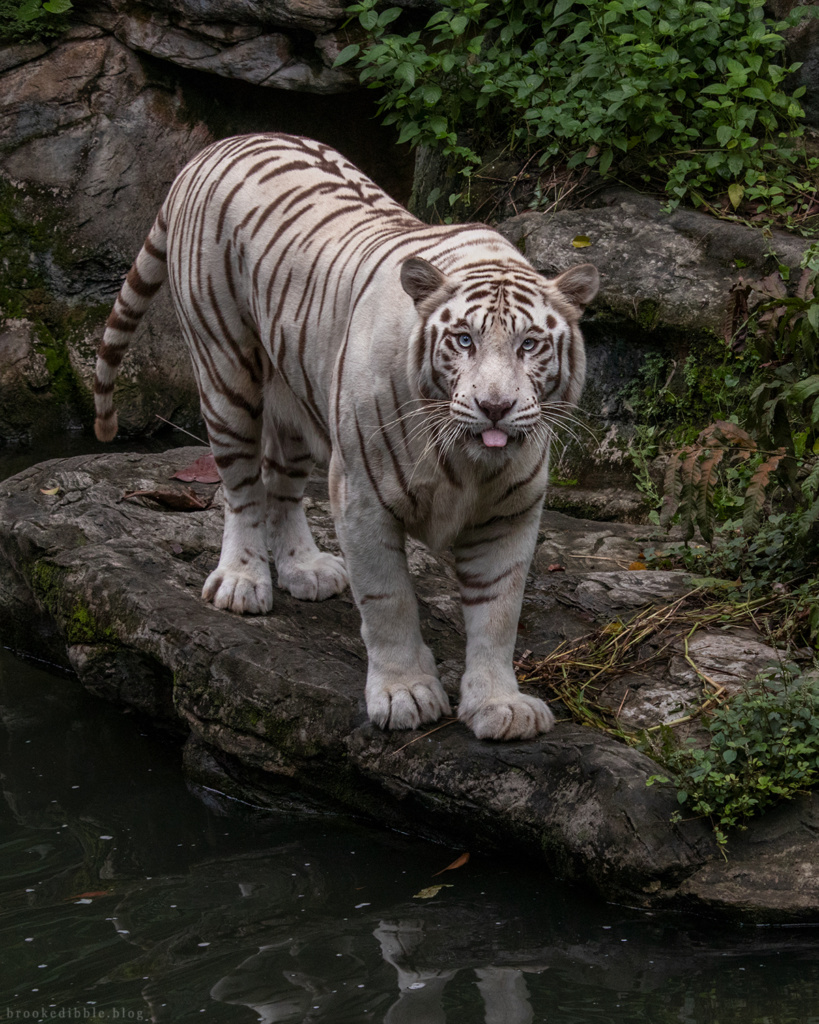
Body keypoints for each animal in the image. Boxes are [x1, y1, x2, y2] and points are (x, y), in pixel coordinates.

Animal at [92, 134, 597, 745]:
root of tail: (221, 144)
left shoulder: (511, 513)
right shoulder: (362, 496)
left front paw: (500, 705)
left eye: (529, 345)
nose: (494, 407)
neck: (467, 462)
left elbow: (499, 612)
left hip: (295, 392)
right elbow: (388, 601)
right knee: (241, 487)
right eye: (463, 340)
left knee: (280, 485)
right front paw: (405, 693)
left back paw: (304, 568)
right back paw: (241, 581)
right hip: (225, 369)